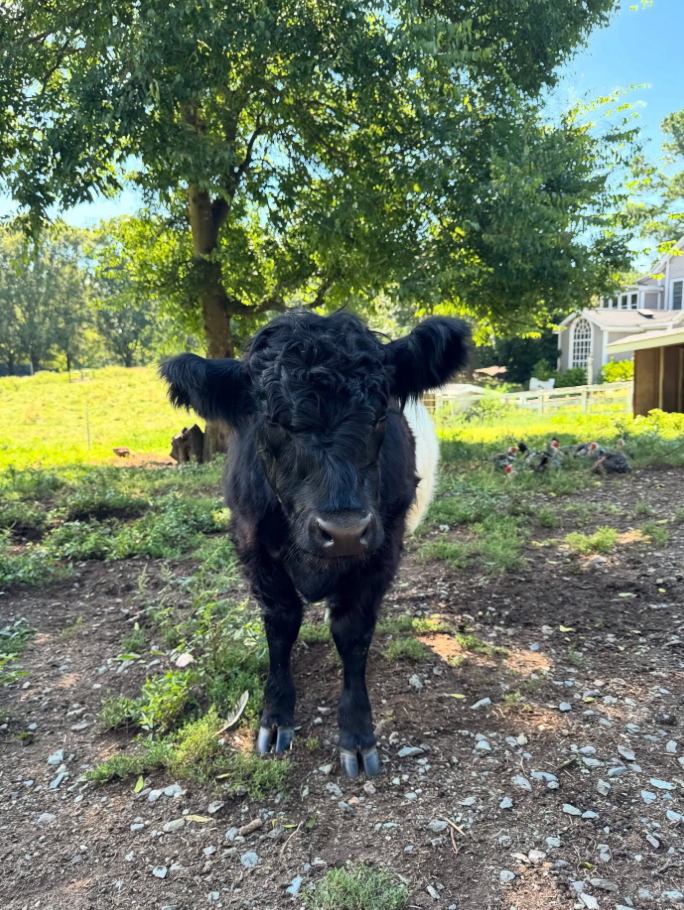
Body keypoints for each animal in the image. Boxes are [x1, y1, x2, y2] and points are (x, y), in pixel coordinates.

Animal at [160, 310, 468, 777]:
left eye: (380, 414)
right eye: (272, 421)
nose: (344, 531)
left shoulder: (382, 550)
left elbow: (352, 634)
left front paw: (357, 734)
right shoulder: (253, 548)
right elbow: (281, 627)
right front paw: (275, 717)